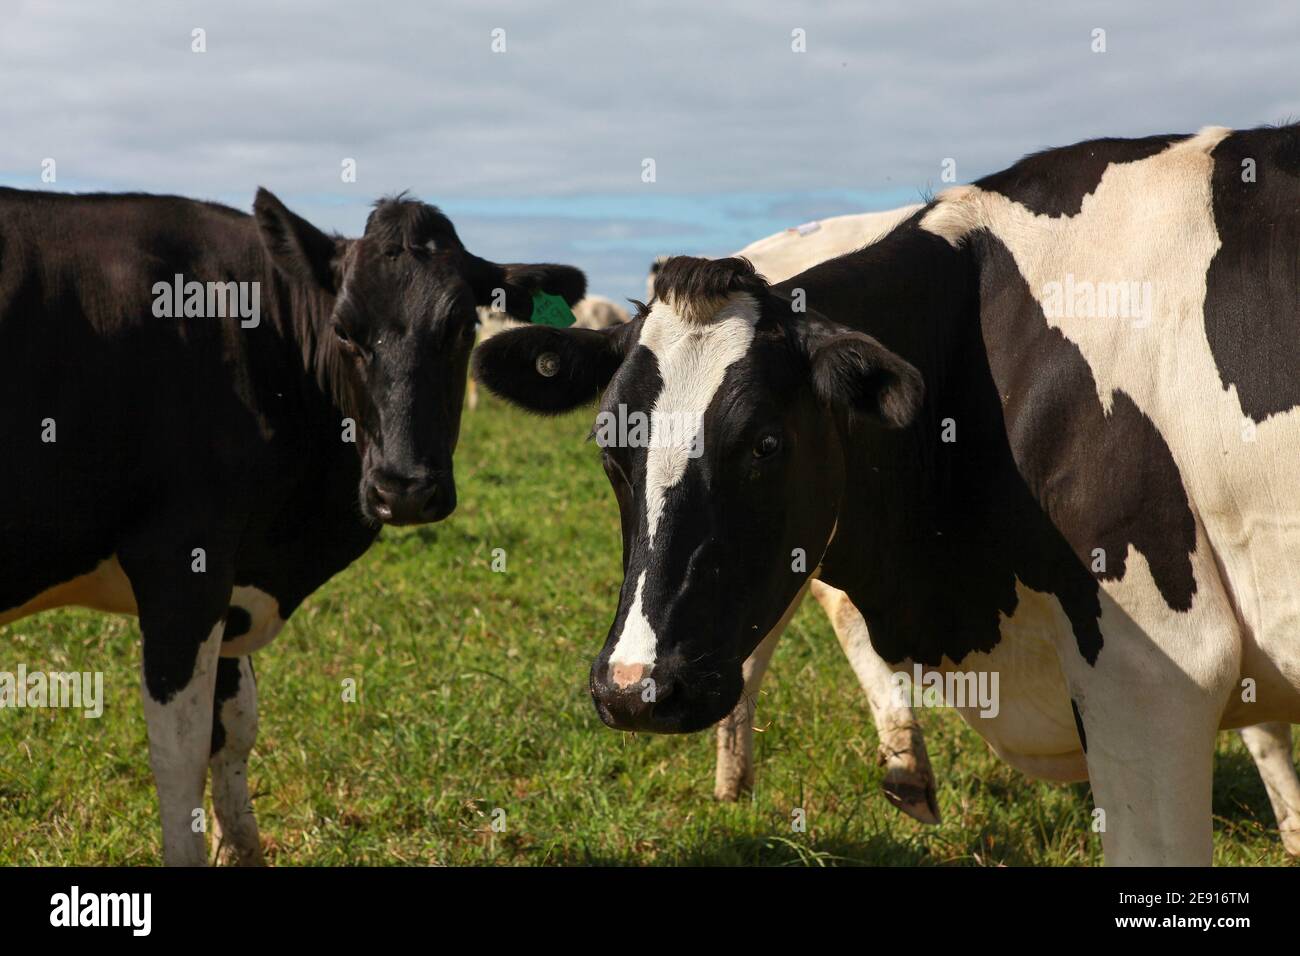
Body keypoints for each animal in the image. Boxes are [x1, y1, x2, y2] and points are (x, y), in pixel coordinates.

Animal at [0, 187, 587, 868]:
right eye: (344, 330)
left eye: (463, 326)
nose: (404, 489)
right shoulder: (182, 560)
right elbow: (179, 752)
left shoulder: (231, 581)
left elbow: (234, 727)